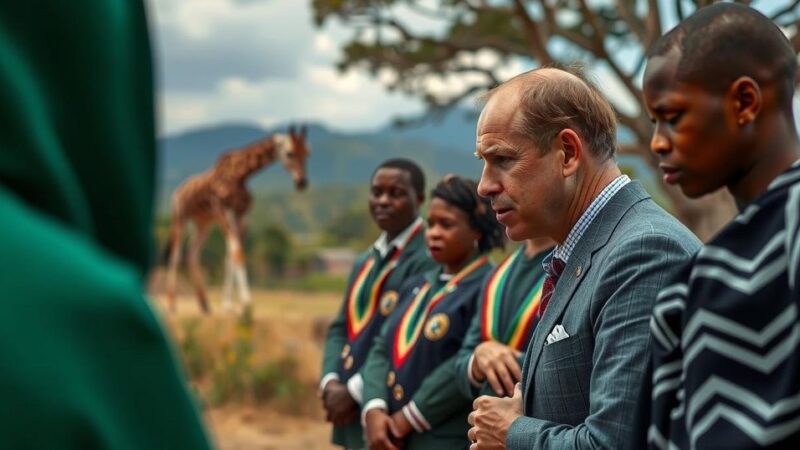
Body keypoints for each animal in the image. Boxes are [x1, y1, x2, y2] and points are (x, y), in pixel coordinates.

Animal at [165, 125, 310, 312]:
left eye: (307, 153)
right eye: (289, 153)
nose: (302, 182)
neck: (240, 174)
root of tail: (178, 191)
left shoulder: (243, 215)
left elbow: (231, 257)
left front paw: (229, 305)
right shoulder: (224, 211)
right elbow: (238, 254)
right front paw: (246, 304)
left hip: (203, 223)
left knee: (191, 253)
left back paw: (204, 304)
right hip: (179, 218)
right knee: (175, 255)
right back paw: (171, 304)